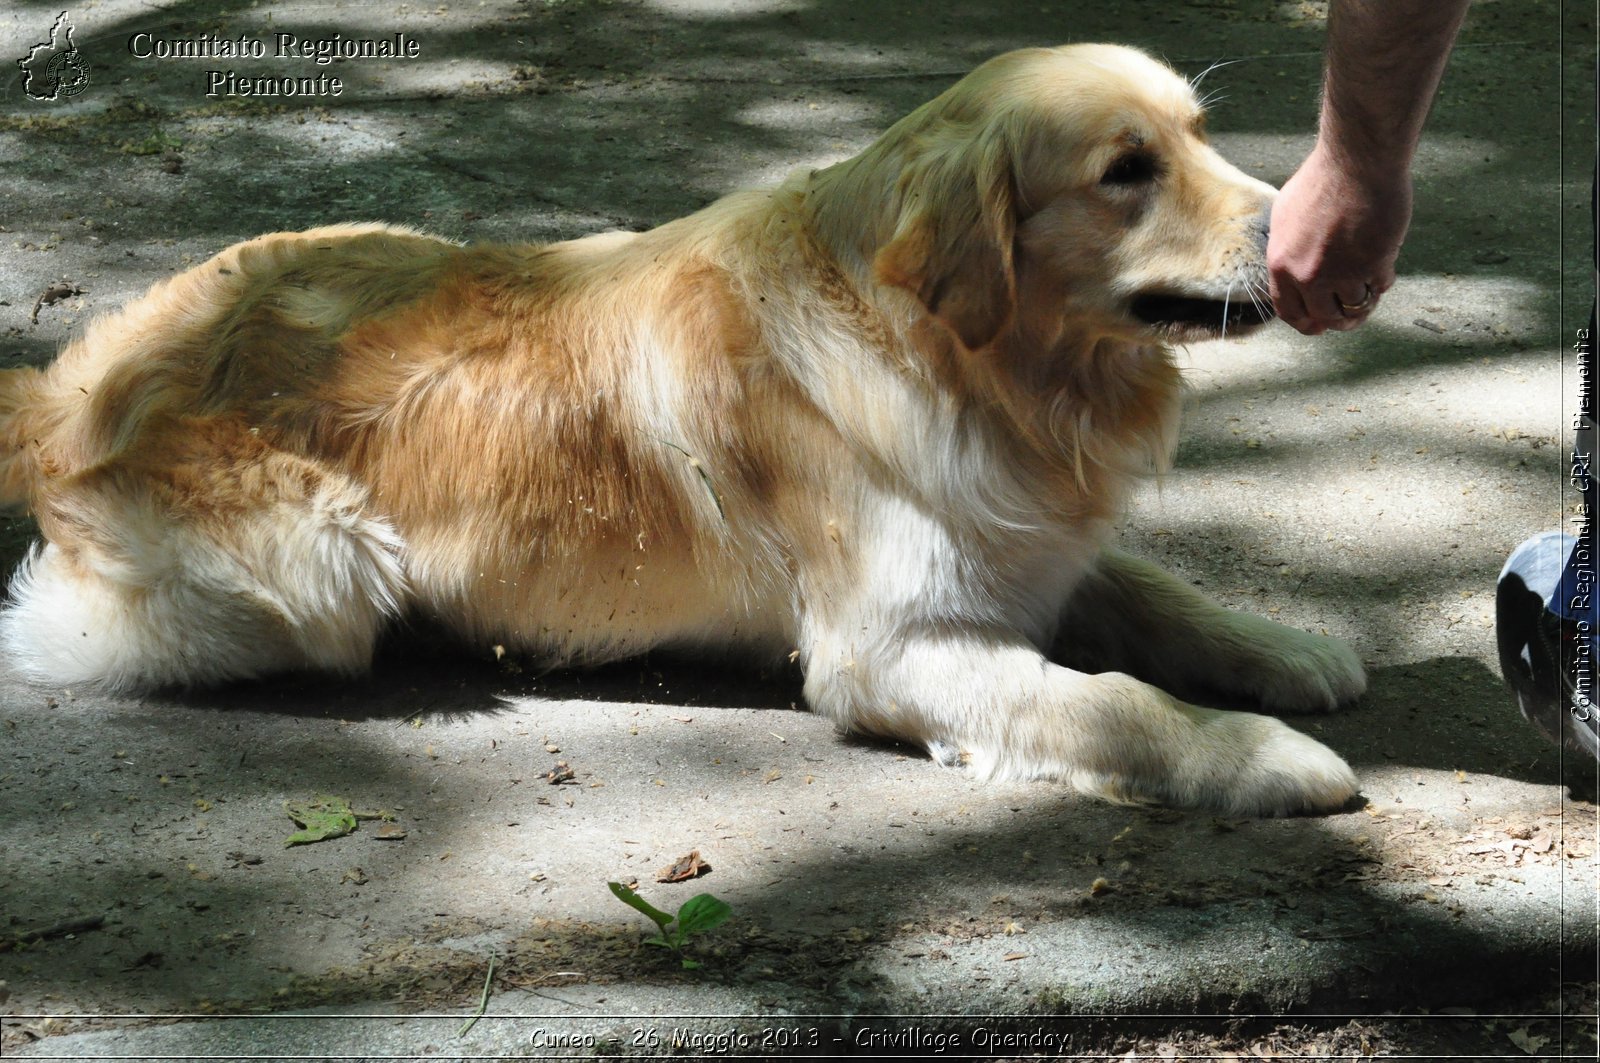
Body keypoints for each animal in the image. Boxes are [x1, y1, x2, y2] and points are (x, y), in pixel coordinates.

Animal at [0, 45, 1363, 813]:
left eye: (1196, 135)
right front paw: (1259, 759)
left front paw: (1286, 647)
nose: (1297, 232)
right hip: (322, 561)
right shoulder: (891, 645)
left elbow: (1155, 593)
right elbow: (1115, 701)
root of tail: (88, 374)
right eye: (1126, 170)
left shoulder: (1028, 540)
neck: (981, 366)